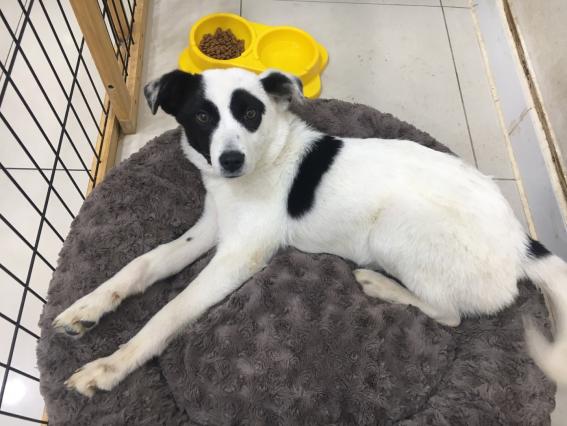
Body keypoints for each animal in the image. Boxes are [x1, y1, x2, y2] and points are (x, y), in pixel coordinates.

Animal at [54, 68, 567, 397]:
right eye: (202, 117)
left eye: (251, 114)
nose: (230, 161)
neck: (265, 159)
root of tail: (522, 244)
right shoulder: (208, 230)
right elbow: (142, 264)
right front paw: (87, 307)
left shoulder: (238, 256)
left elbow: (170, 313)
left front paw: (109, 366)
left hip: (394, 231)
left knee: (449, 314)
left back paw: (381, 285)